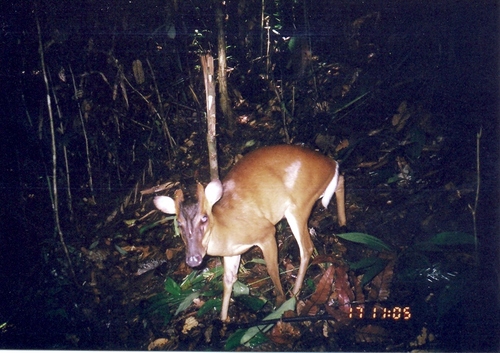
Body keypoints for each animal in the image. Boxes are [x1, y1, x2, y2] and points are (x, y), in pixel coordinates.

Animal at [154, 143, 346, 320]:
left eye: (204, 218)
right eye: (179, 223)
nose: (193, 258)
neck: (224, 229)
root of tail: (331, 163)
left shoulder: (266, 231)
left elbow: (272, 269)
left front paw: (280, 303)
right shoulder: (232, 253)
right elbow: (228, 280)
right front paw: (223, 320)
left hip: (299, 205)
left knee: (306, 248)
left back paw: (295, 294)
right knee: (341, 180)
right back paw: (343, 223)